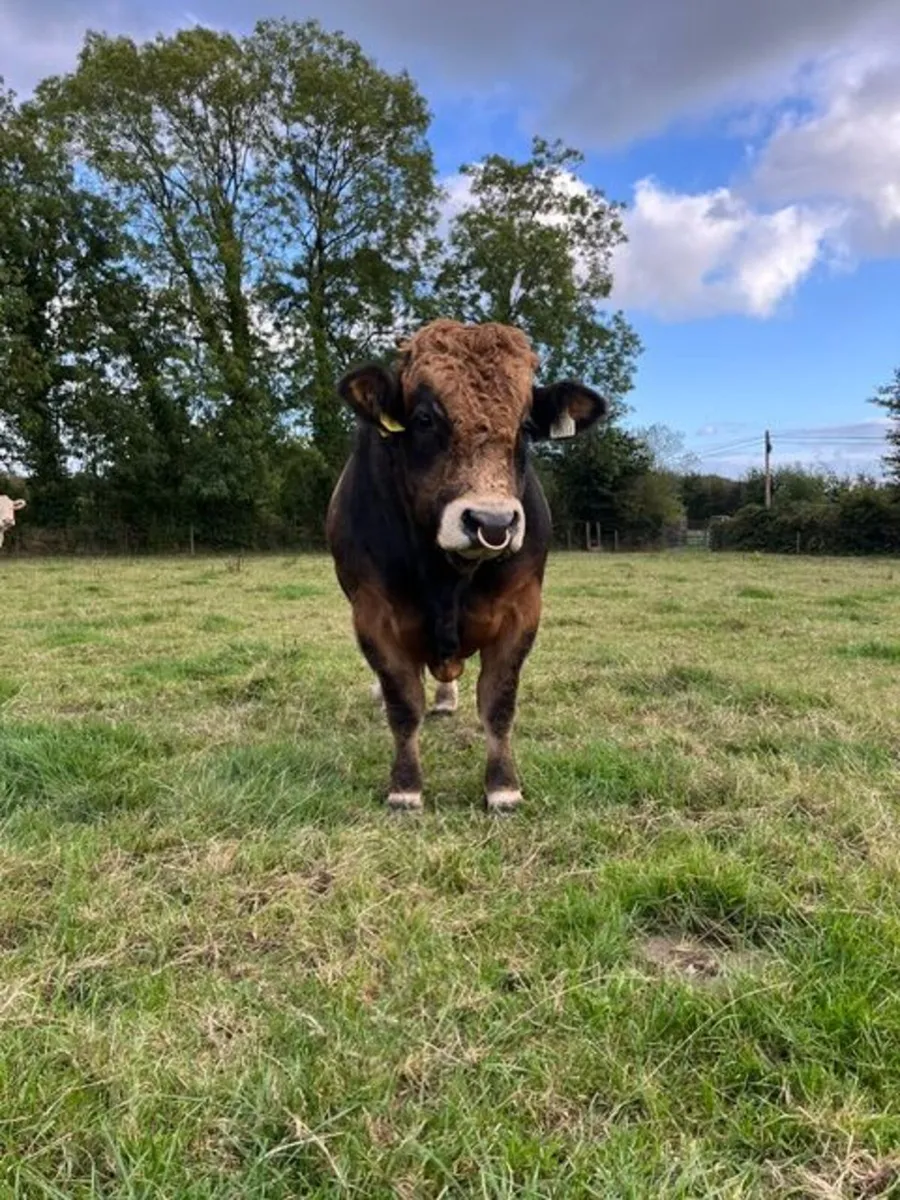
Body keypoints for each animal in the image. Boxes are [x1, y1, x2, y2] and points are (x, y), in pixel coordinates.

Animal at [326, 319, 608, 812]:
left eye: (526, 426)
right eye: (424, 419)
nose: (492, 522)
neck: (447, 577)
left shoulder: (522, 608)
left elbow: (498, 703)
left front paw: (503, 787)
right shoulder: (372, 612)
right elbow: (403, 704)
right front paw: (405, 788)